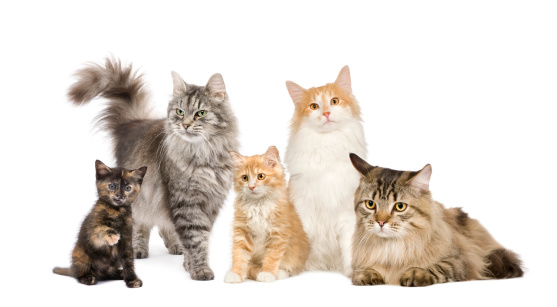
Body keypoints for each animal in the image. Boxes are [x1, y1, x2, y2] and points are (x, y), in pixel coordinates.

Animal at [66, 58, 238, 282]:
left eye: (201, 113)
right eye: (179, 112)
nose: (185, 125)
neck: (203, 155)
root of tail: (133, 124)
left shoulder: (210, 203)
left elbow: (199, 237)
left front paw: (189, 264)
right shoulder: (185, 201)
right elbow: (194, 239)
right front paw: (199, 269)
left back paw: (174, 246)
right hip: (141, 193)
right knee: (140, 223)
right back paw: (139, 249)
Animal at [223, 147, 308, 284]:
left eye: (261, 176)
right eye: (245, 178)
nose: (251, 187)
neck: (258, 205)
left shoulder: (278, 233)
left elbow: (272, 256)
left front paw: (267, 273)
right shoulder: (242, 232)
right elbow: (239, 255)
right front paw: (235, 273)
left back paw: (280, 273)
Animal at [284, 66, 368, 276]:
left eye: (334, 101)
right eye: (314, 106)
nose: (327, 113)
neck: (328, 144)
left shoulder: (348, 215)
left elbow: (349, 248)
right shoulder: (302, 210)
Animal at [348, 155, 520, 288]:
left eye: (400, 206)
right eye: (370, 204)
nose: (381, 222)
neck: (391, 248)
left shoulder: (461, 260)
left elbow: (439, 267)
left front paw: (416, 273)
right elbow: (364, 270)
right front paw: (366, 274)